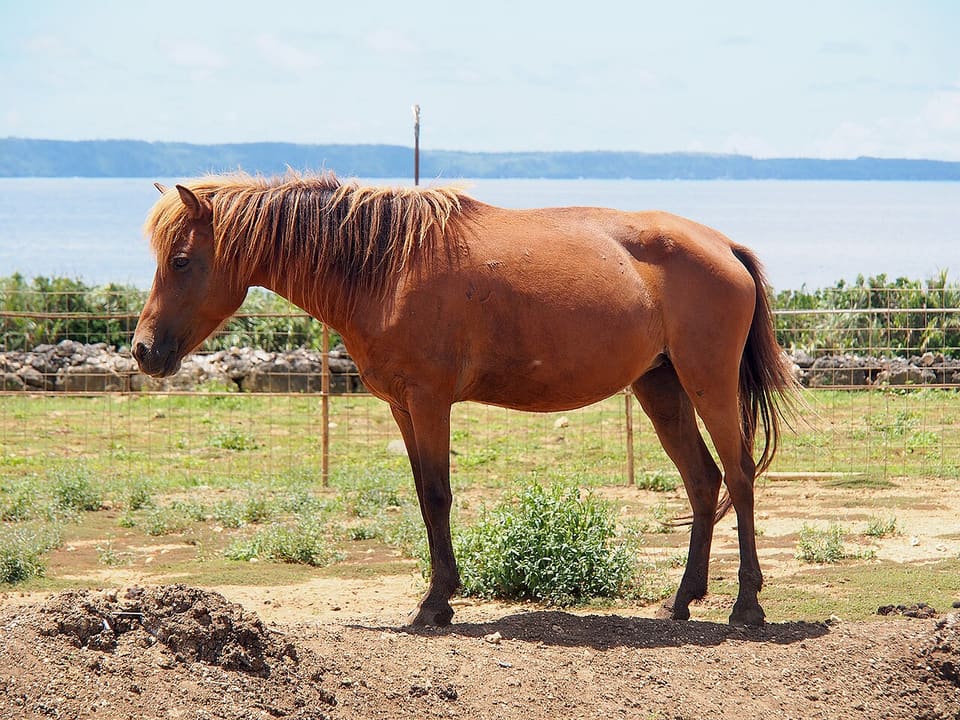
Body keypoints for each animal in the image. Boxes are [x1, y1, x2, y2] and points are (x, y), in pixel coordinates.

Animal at [132, 171, 797, 627]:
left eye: (182, 260)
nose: (143, 351)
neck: (384, 267)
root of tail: (724, 246)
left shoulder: (430, 402)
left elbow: (438, 495)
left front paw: (435, 603)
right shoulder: (402, 407)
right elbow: (425, 496)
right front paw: (441, 598)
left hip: (708, 384)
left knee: (739, 476)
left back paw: (746, 605)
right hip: (662, 388)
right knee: (704, 481)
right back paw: (682, 601)